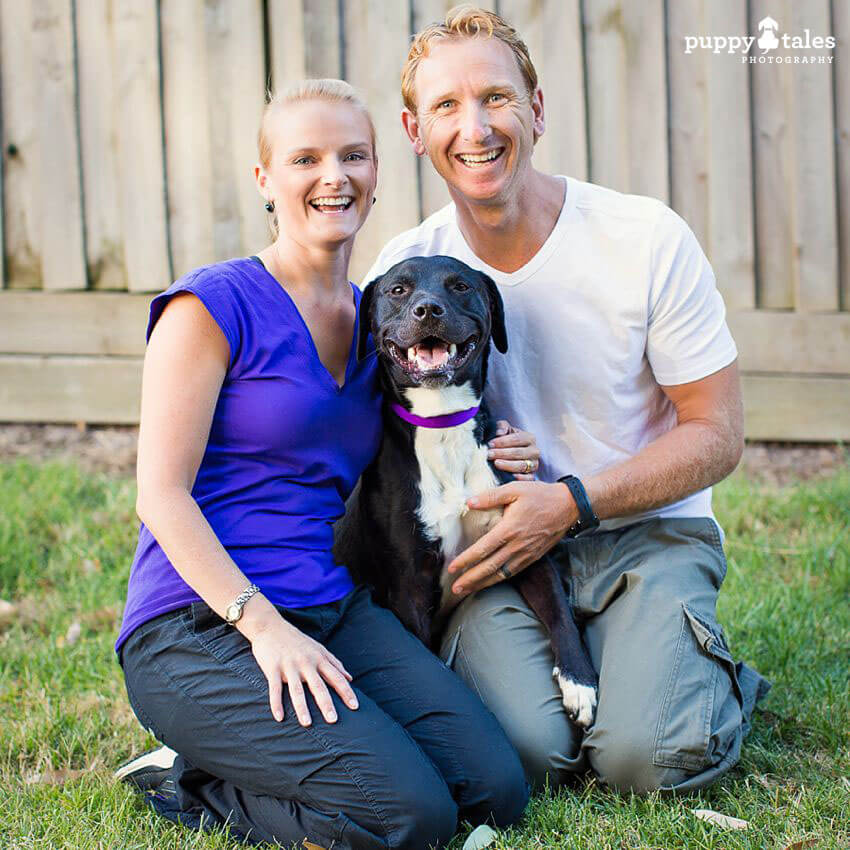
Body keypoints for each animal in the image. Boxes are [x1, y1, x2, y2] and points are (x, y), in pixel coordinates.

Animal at [332, 255, 596, 724]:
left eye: (459, 286)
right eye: (398, 290)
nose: (428, 310)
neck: (443, 424)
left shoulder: (522, 541)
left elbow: (559, 611)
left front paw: (579, 681)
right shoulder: (409, 586)